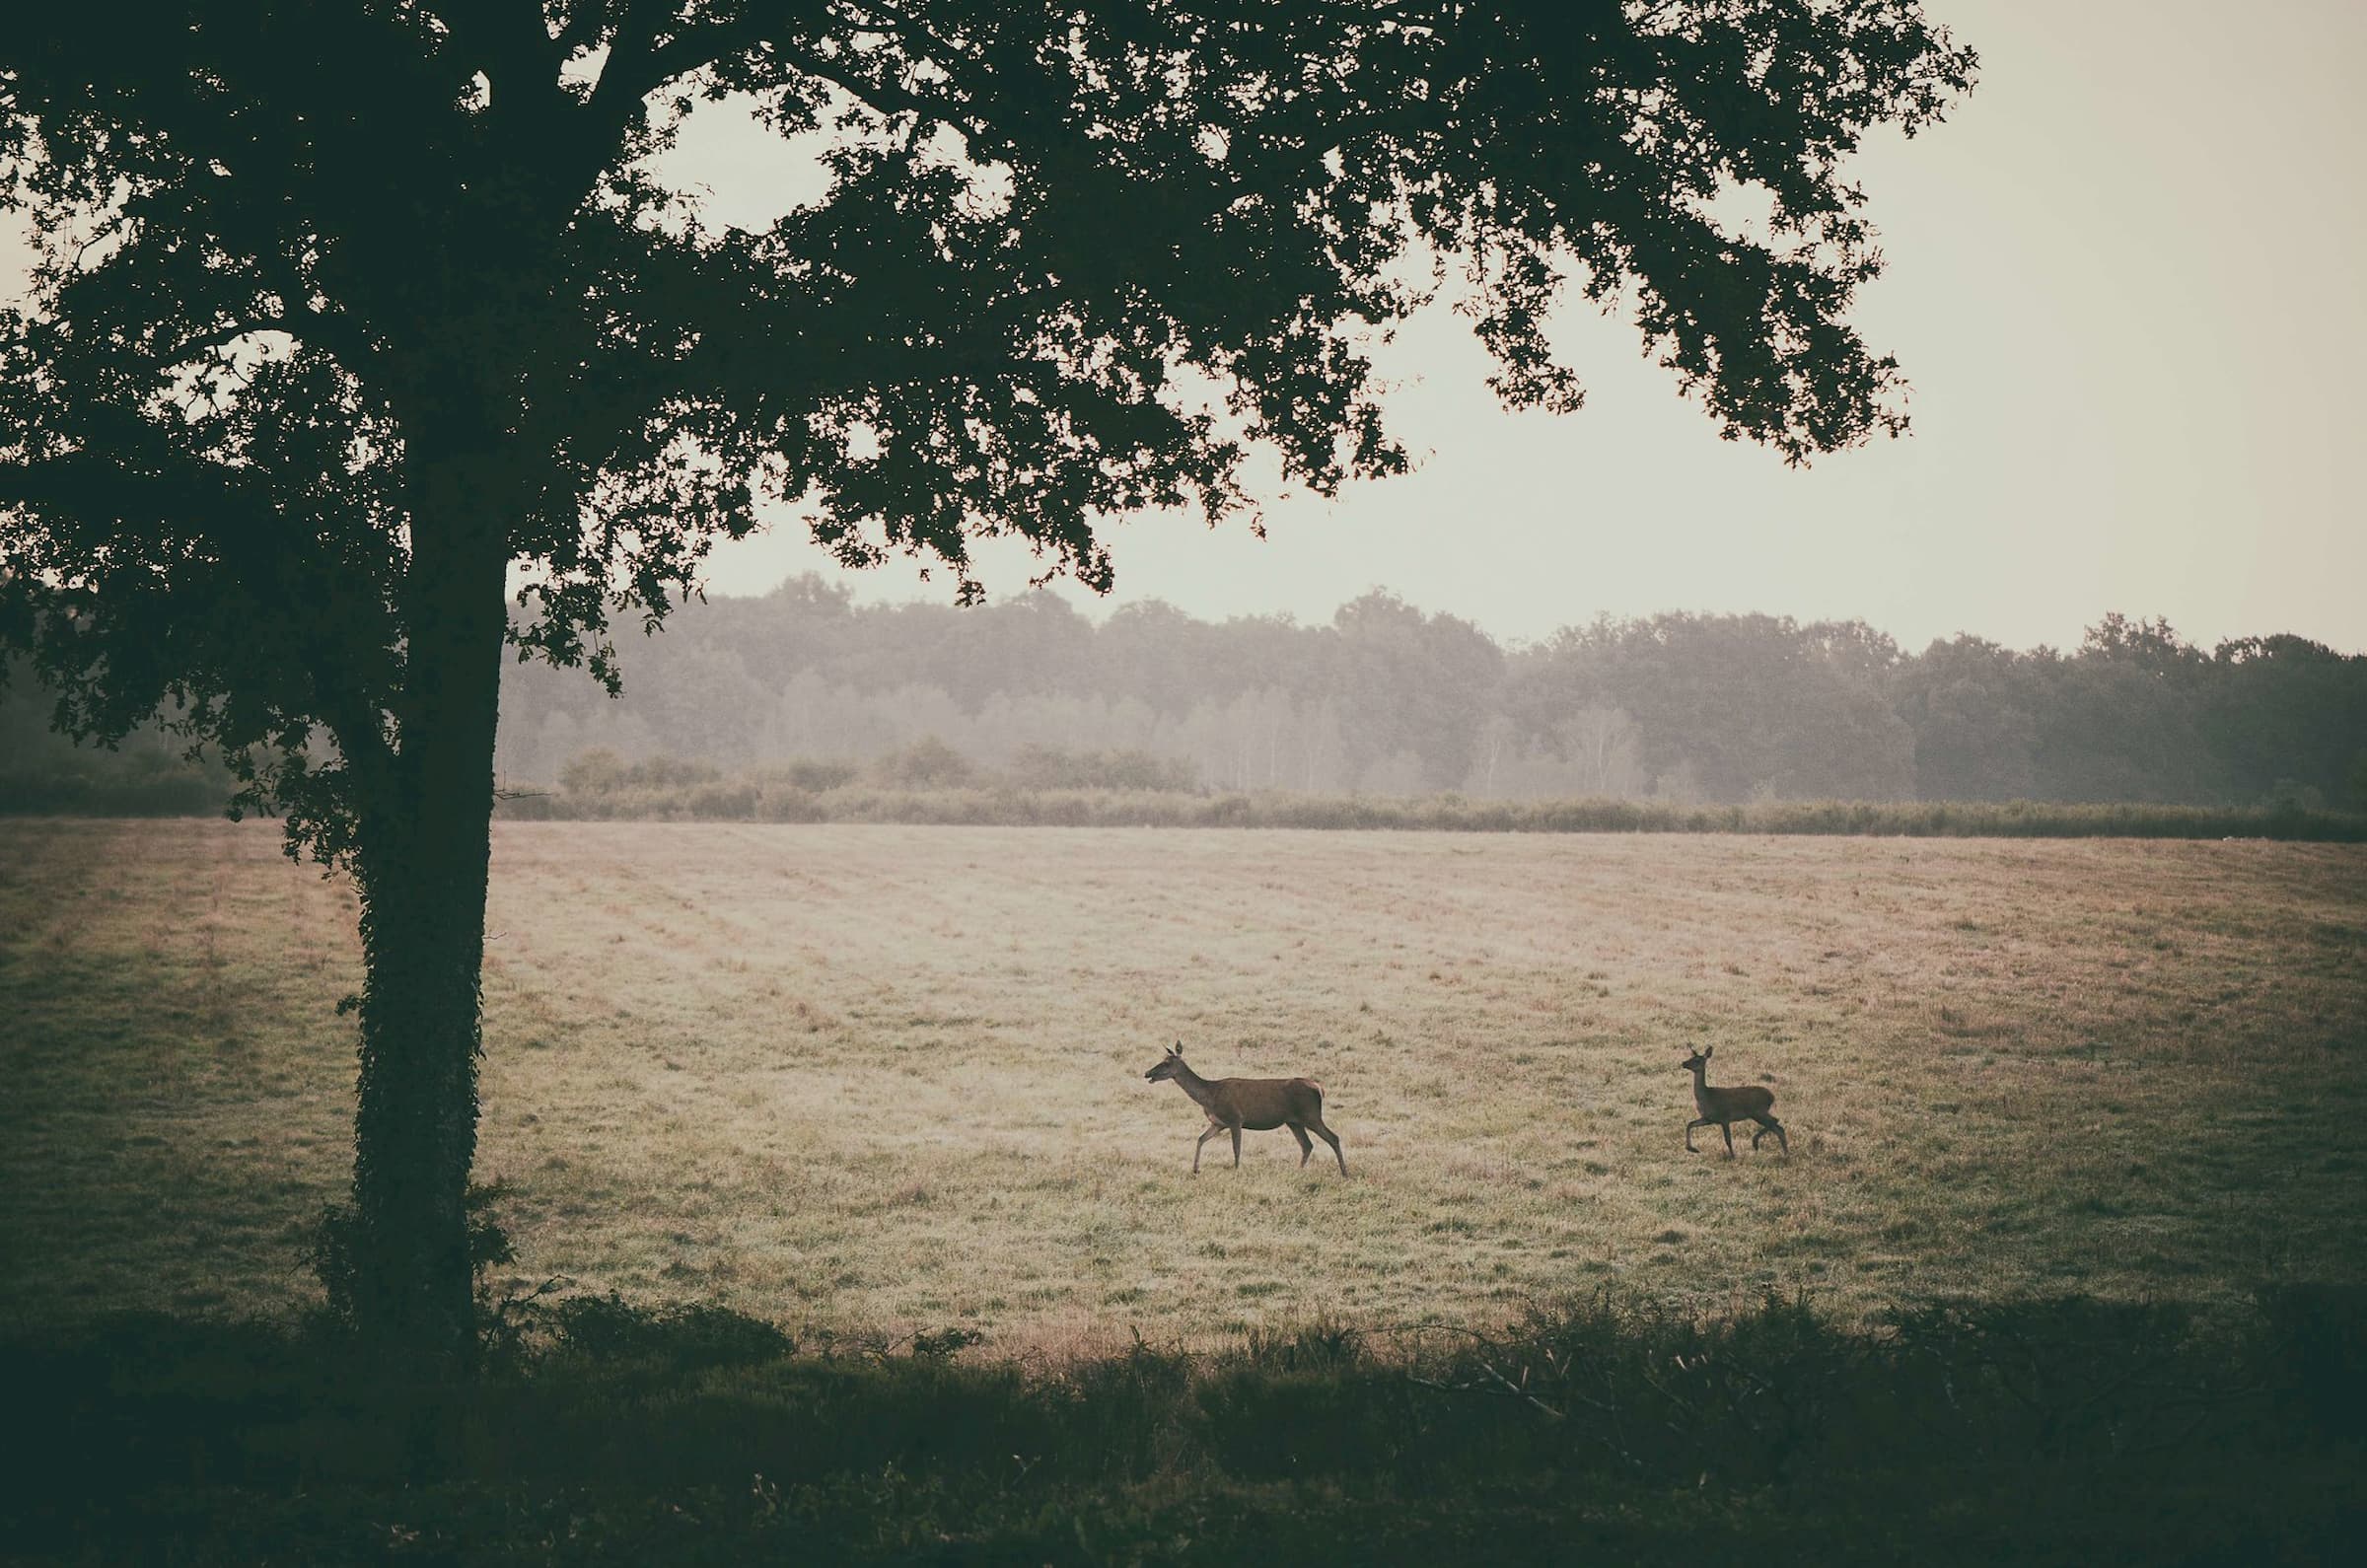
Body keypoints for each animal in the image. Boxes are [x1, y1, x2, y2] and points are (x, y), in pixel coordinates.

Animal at [1145, 1041, 1353, 1179]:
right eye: (1162, 1060)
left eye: (1167, 1063)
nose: (1147, 1073)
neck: (1209, 1095)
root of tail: (1320, 1088)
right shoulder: (1218, 1123)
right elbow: (1200, 1139)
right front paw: (1195, 1170)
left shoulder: (1235, 1118)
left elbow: (1236, 1148)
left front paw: (1236, 1171)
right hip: (1293, 1121)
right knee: (1307, 1145)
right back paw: (1298, 1171)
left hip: (1311, 1115)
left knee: (1333, 1137)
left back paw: (1344, 1173)